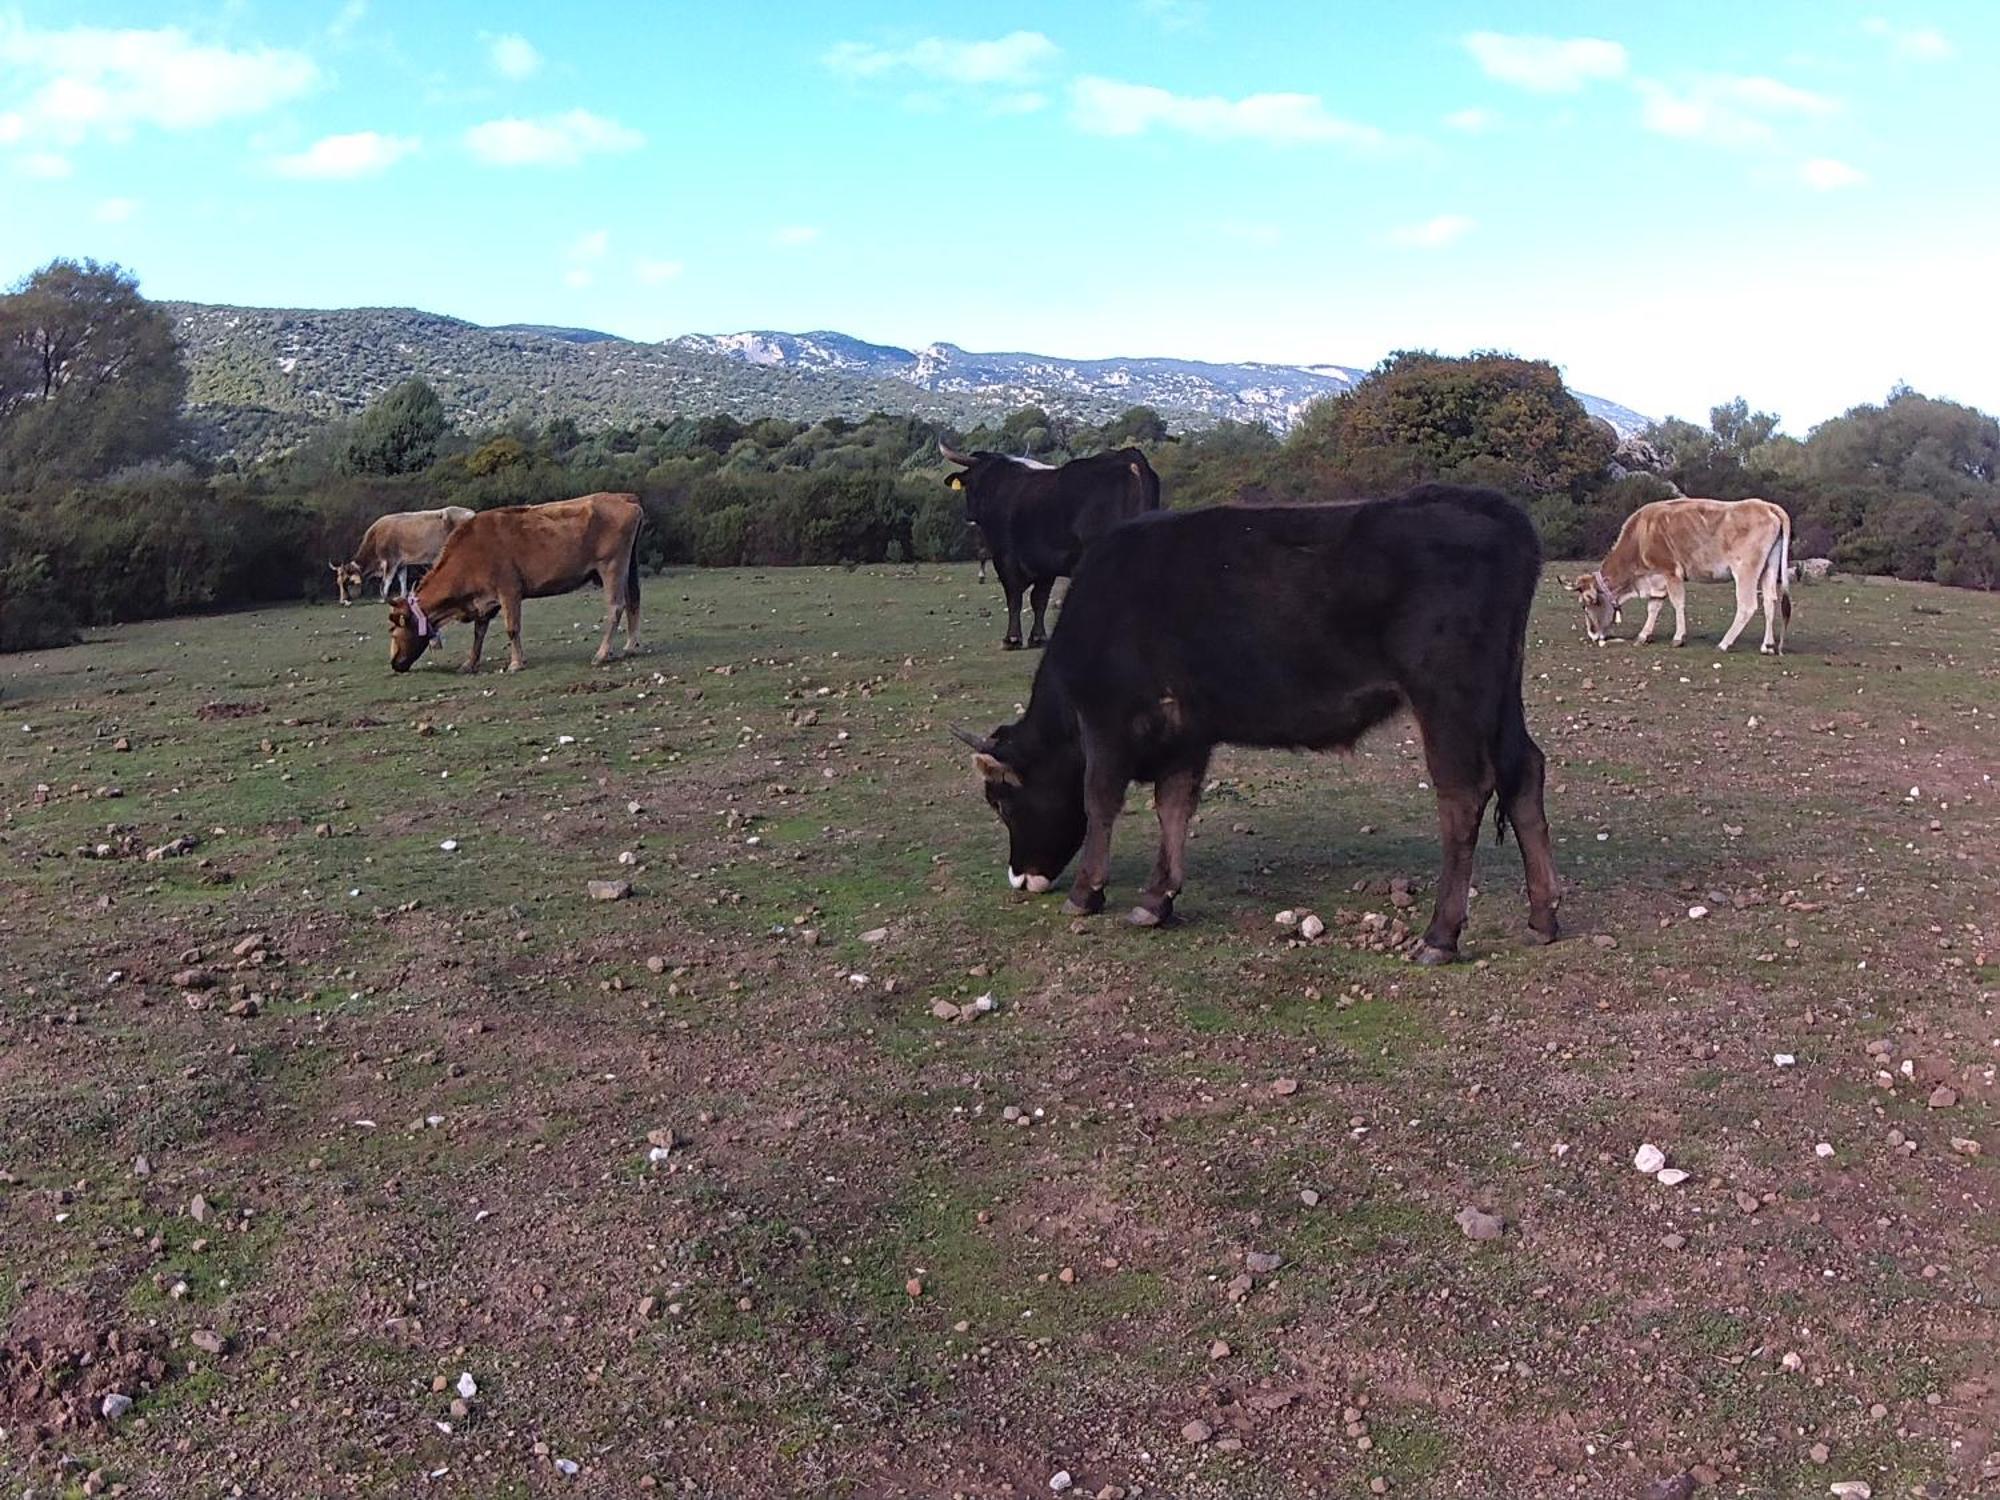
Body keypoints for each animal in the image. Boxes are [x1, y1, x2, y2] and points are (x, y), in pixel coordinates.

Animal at [336, 506, 480, 600]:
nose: (343, 601)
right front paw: (402, 596)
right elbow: (403, 580)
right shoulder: (401, 564)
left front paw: (384, 598)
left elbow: (386, 582)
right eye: (339, 582)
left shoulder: (391, 561)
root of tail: (471, 513)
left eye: (348, 581)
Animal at [386, 494, 644, 676]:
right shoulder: (484, 601)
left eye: (393, 630)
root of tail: (624, 497)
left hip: (611, 566)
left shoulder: (509, 590)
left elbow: (512, 628)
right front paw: (469, 663)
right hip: (627, 567)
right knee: (633, 602)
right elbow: (478, 633)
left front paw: (516, 663)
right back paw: (630, 647)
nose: (394, 663)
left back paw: (602, 654)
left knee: (616, 607)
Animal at [944, 440, 1168, 652]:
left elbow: (1014, 598)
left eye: (971, 484)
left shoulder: (1005, 560)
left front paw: (1012, 639)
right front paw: (1037, 637)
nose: (969, 516)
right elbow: (1039, 600)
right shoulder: (1045, 565)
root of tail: (1128, 460)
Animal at [952, 488, 1560, 968]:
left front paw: (1086, 893)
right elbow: (1174, 806)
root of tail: (1489, 507)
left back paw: (1440, 935)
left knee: (1463, 793)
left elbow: (1099, 799)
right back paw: (1543, 916)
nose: (1020, 878)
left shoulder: (1107, 719)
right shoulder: (1187, 734)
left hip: (1448, 694)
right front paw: (1156, 899)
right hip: (1499, 693)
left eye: (1002, 801)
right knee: (1523, 770)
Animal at [1576, 500, 1800, 656]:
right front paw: (1643, 635)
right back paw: (1767, 646)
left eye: (1586, 604)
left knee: (1747, 605)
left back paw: (1724, 643)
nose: (1592, 635)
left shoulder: (1670, 572)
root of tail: (1766, 505)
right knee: (1770, 601)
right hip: (1769, 567)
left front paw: (1678, 638)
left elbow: (1677, 603)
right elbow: (1653, 607)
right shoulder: (1657, 580)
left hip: (1746, 569)